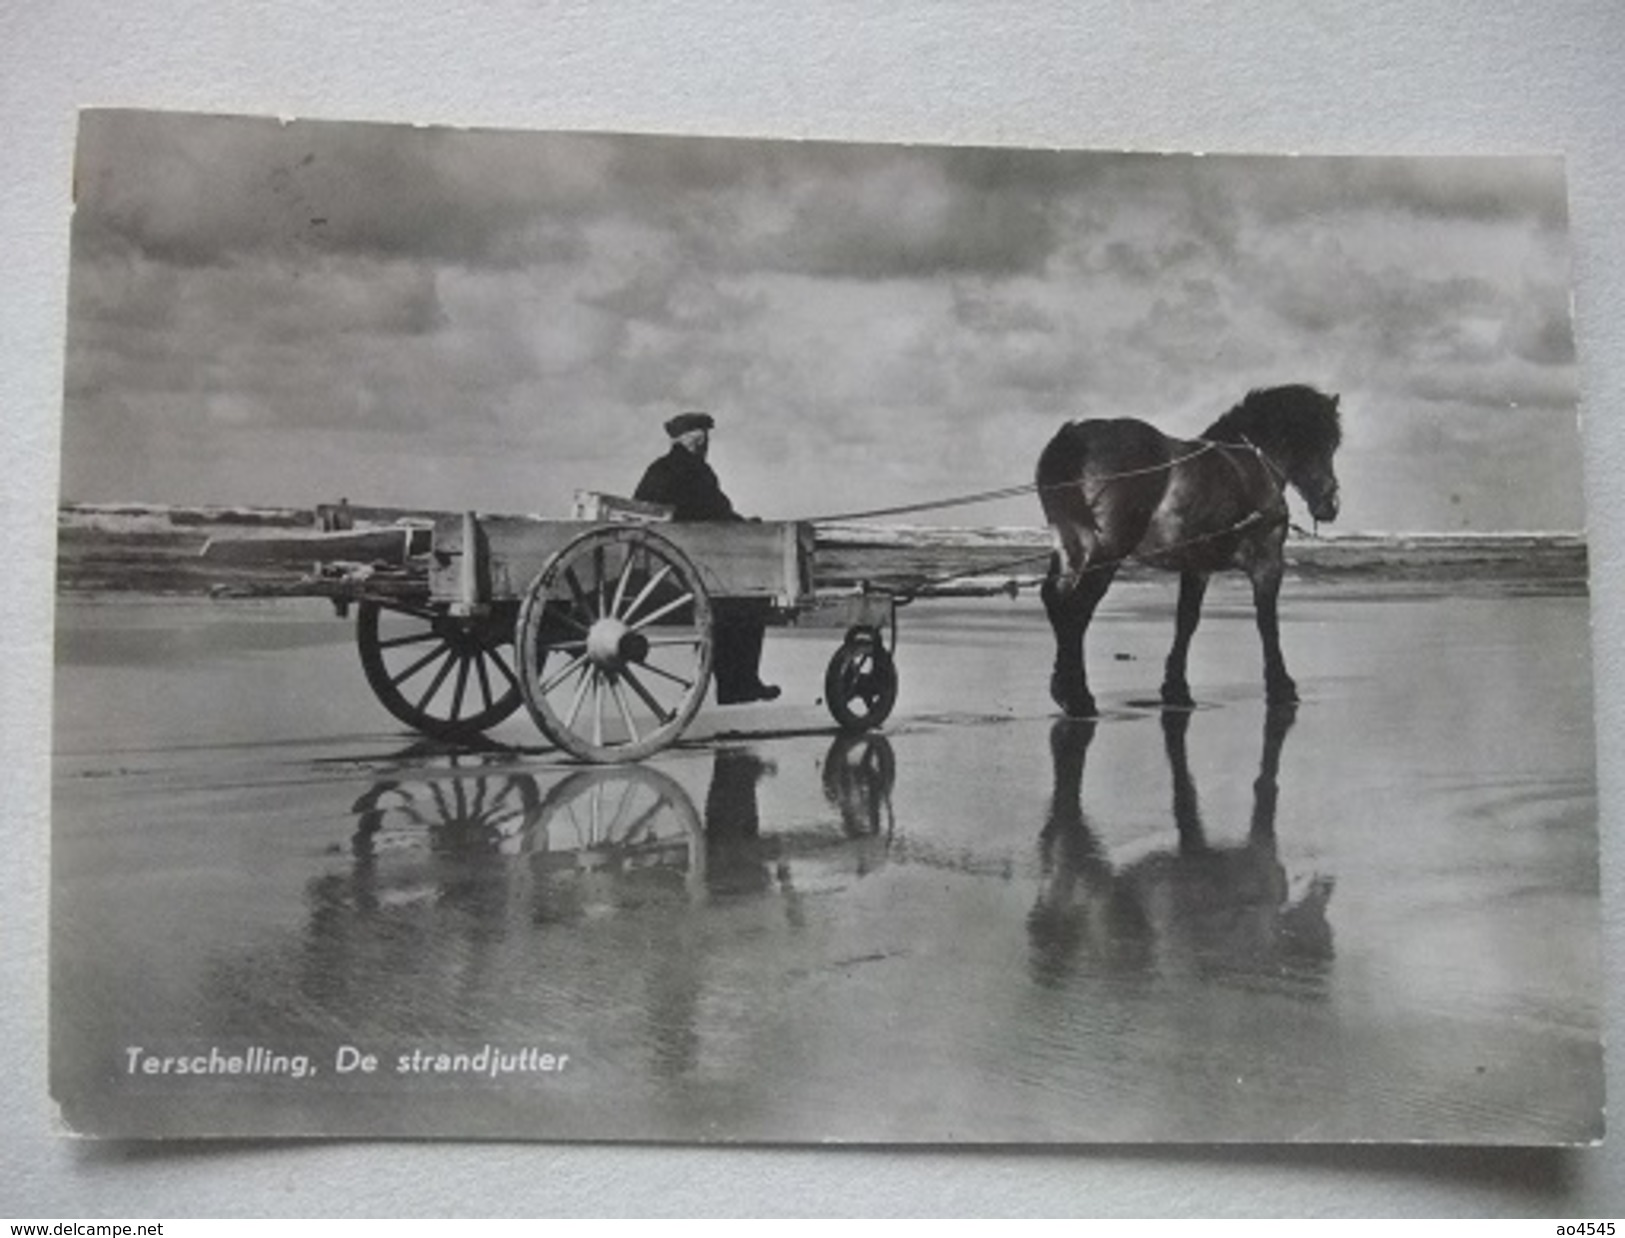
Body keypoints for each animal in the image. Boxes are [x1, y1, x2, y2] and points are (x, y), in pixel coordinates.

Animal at [1033, 383, 1339, 714]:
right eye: (1322, 442)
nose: (1330, 505)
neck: (1251, 464)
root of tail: (1073, 436)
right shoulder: (1267, 563)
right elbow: (1267, 623)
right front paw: (1282, 687)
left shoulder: (1197, 567)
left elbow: (1186, 621)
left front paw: (1176, 690)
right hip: (1105, 555)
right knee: (1077, 609)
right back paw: (1079, 697)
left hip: (1071, 548)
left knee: (1055, 600)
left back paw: (1065, 690)